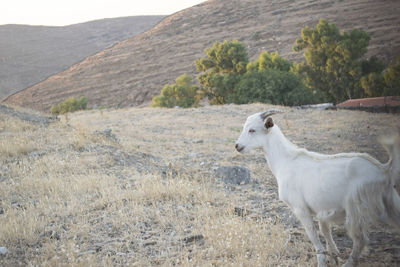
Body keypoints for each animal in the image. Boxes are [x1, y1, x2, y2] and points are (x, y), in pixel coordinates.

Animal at [234, 110, 400, 266]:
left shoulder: (300, 208)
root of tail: (384, 170)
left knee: (361, 239)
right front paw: (334, 256)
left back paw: (348, 263)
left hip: (356, 207)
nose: (237, 146)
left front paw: (322, 261)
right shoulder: (321, 208)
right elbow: (325, 231)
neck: (286, 161)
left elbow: (313, 234)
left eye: (252, 130)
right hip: (391, 201)